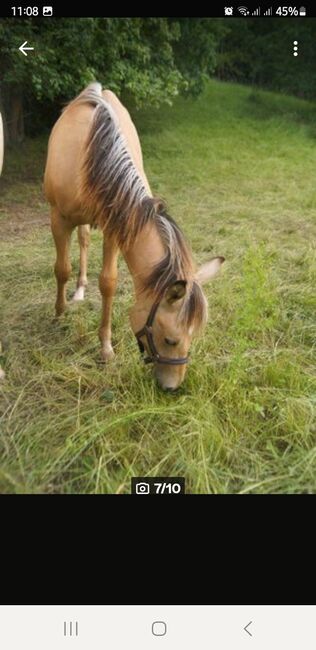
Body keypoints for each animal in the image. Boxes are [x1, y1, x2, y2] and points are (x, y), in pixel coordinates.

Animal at [43, 85, 225, 390]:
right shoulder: (58, 219)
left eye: (193, 336)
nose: (172, 388)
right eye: (170, 340)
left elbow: (108, 283)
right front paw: (58, 314)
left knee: (84, 241)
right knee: (79, 244)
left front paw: (105, 348)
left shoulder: (116, 228)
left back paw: (81, 287)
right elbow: (61, 269)